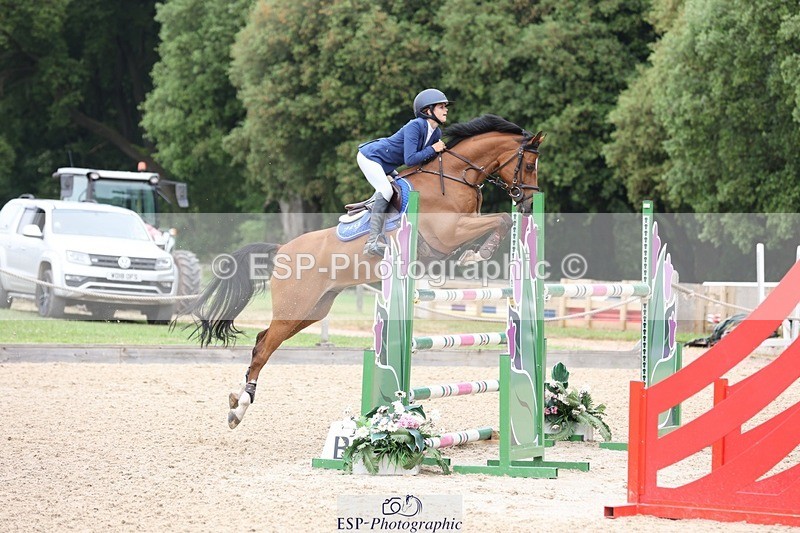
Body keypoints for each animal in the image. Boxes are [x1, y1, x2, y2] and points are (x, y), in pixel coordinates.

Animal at [186, 114, 543, 428]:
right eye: (528, 165)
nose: (527, 204)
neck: (456, 176)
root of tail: (282, 250)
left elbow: (500, 221)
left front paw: (474, 254)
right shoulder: (449, 232)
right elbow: (500, 218)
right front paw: (477, 253)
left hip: (311, 311)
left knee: (263, 339)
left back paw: (238, 403)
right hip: (293, 309)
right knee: (262, 348)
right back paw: (239, 409)